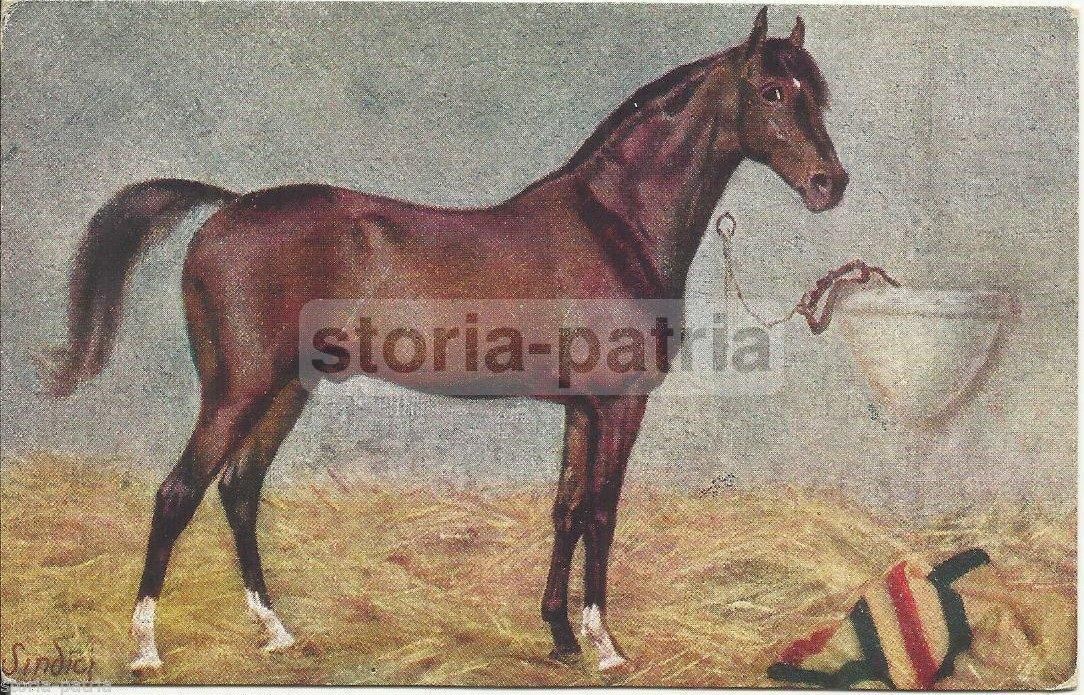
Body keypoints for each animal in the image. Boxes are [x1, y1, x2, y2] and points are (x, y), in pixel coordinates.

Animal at [36, 8, 847, 674]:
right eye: (772, 93)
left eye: (816, 95)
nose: (829, 183)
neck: (612, 224)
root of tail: (227, 209)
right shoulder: (619, 406)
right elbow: (601, 513)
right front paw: (605, 645)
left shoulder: (581, 409)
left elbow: (566, 509)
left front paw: (559, 636)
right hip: (238, 386)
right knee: (179, 491)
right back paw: (146, 647)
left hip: (288, 387)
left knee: (238, 489)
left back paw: (276, 632)